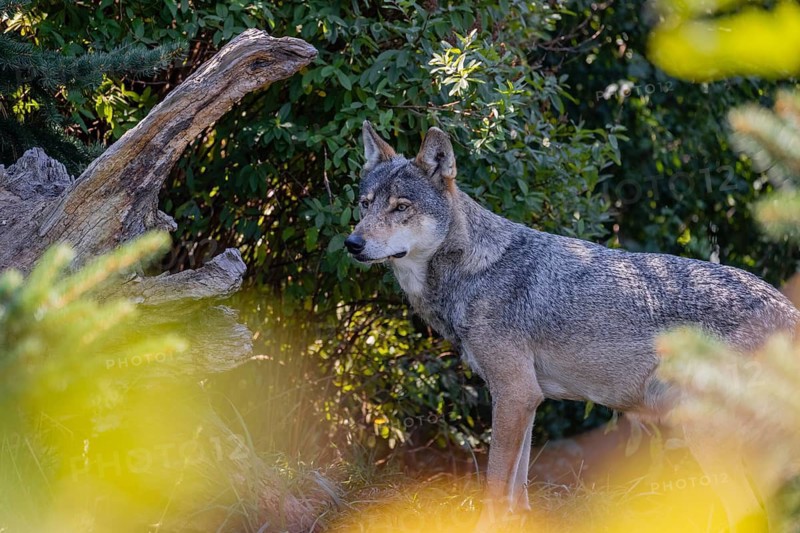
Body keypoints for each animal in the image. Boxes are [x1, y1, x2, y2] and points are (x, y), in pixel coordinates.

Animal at [345, 121, 800, 527]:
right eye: (366, 204)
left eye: (401, 207)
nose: (352, 243)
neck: (475, 268)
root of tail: (786, 310)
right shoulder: (527, 400)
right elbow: (517, 491)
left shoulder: (514, 393)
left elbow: (493, 487)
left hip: (705, 436)